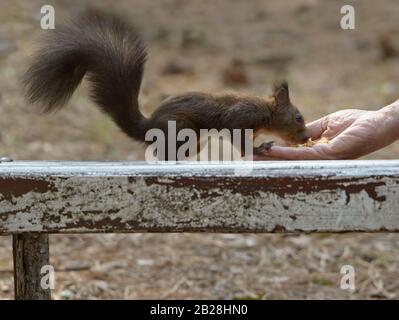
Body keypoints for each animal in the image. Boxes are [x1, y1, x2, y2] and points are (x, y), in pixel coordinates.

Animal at [23, 8, 310, 157]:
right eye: (298, 117)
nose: (306, 137)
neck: (266, 111)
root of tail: (148, 126)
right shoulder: (240, 119)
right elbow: (237, 138)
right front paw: (258, 149)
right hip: (182, 129)